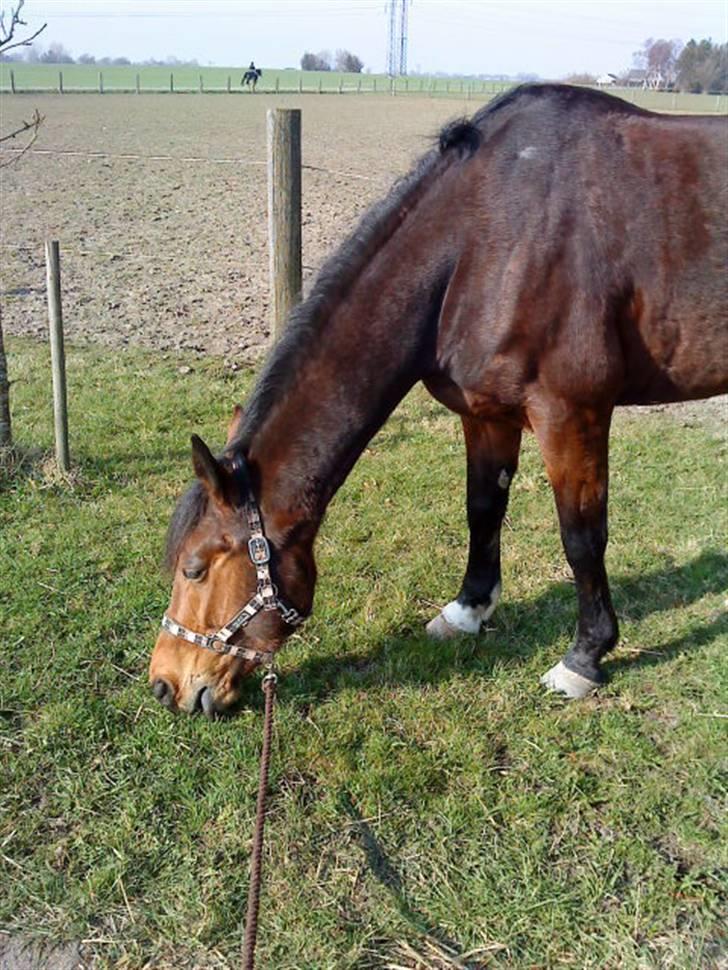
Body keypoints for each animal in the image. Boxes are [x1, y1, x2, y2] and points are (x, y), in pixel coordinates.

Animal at [149, 85, 728, 720]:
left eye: (195, 568)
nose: (165, 684)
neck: (488, 240)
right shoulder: (486, 413)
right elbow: (483, 508)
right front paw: (467, 611)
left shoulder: (571, 414)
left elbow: (582, 536)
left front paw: (585, 657)